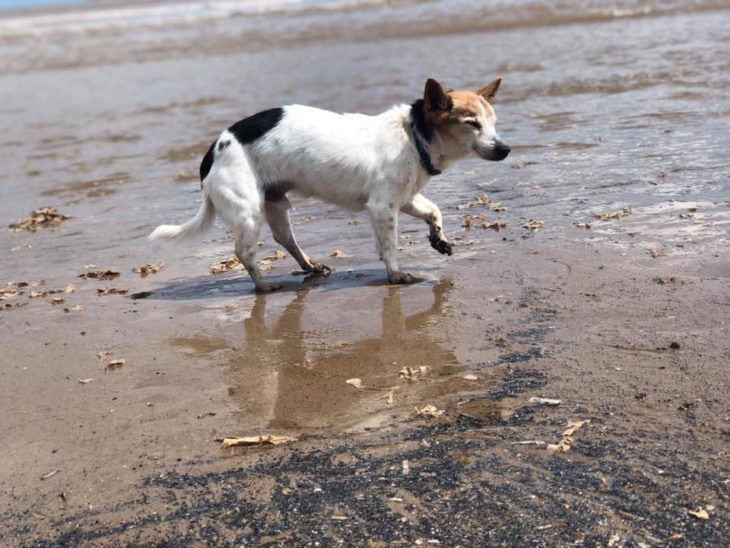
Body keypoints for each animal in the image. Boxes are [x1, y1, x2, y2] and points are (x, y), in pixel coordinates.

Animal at [149, 77, 506, 294]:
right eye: (471, 123)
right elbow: (389, 246)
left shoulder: (404, 198)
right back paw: (263, 285)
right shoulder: (382, 207)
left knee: (286, 239)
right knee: (244, 252)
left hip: (275, 204)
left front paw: (439, 239)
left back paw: (309, 266)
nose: (505, 149)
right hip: (248, 213)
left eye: (493, 122)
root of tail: (213, 151)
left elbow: (434, 210)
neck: (414, 134)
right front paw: (395, 275)